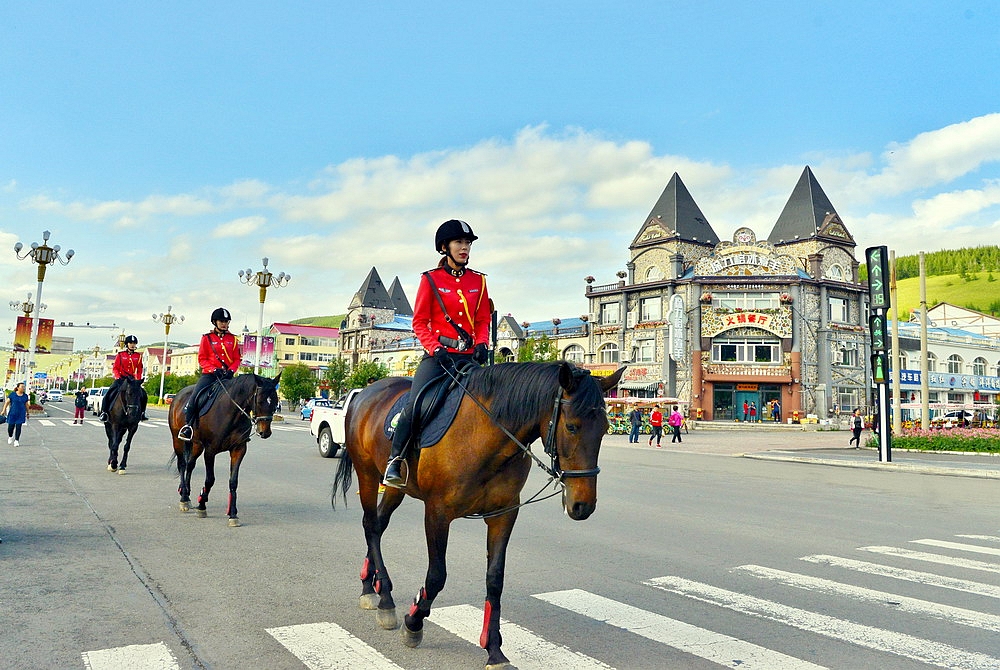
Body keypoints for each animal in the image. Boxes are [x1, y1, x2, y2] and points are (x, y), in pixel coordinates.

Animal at [166, 376, 280, 528]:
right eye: (260, 401)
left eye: (275, 401)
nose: (265, 432)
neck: (231, 413)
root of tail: (178, 395)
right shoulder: (210, 451)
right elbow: (210, 480)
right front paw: (202, 504)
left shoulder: (239, 449)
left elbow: (233, 481)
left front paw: (233, 513)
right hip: (177, 440)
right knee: (182, 465)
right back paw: (184, 498)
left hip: (197, 445)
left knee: (190, 465)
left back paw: (187, 494)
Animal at [332, 362, 620, 670]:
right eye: (571, 426)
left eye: (605, 429)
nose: (582, 505)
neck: (486, 435)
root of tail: (367, 391)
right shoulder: (437, 513)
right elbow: (437, 575)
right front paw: (414, 622)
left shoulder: (504, 514)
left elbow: (495, 580)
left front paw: (493, 648)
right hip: (367, 474)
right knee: (371, 525)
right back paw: (384, 597)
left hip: (396, 488)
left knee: (379, 523)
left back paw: (369, 584)